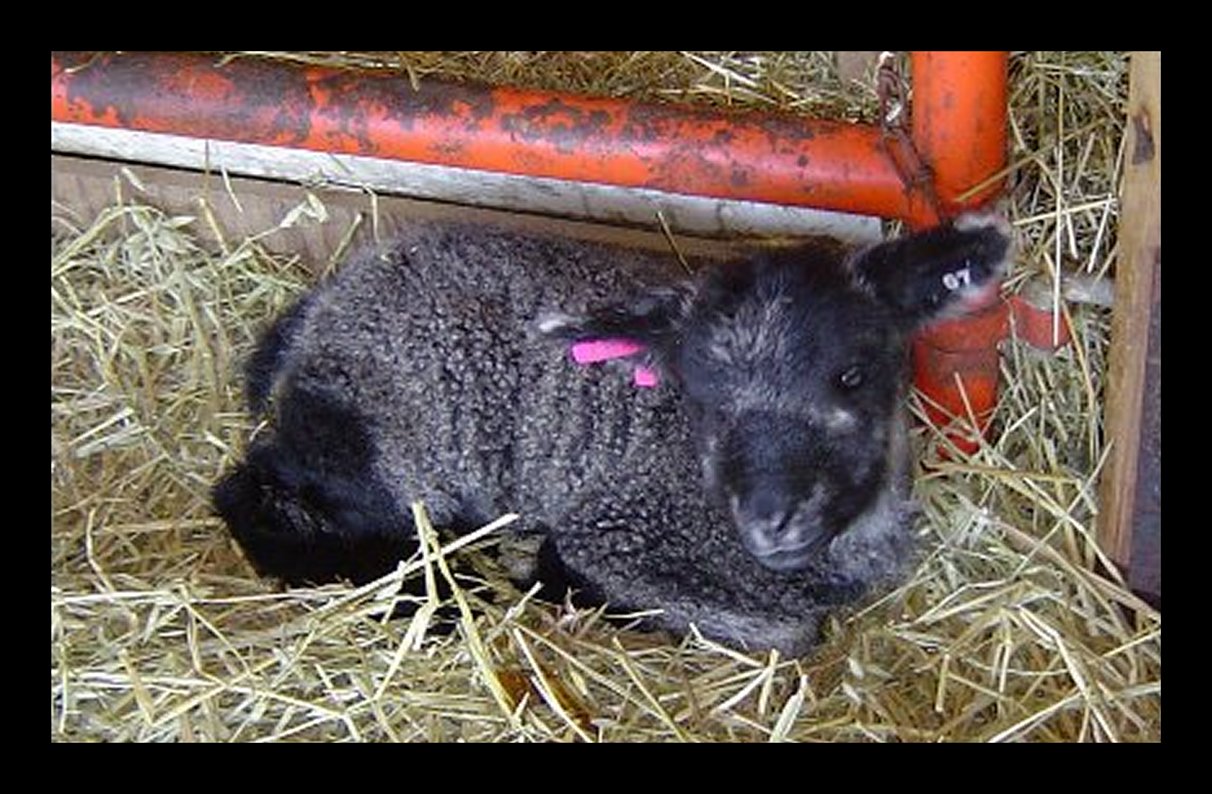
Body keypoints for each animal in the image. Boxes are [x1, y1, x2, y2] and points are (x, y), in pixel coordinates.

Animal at [213, 214, 1011, 656]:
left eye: (851, 374)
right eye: (704, 401)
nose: (772, 520)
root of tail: (324, 304)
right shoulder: (622, 529)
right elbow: (787, 634)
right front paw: (544, 577)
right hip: (390, 432)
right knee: (253, 497)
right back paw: (437, 588)